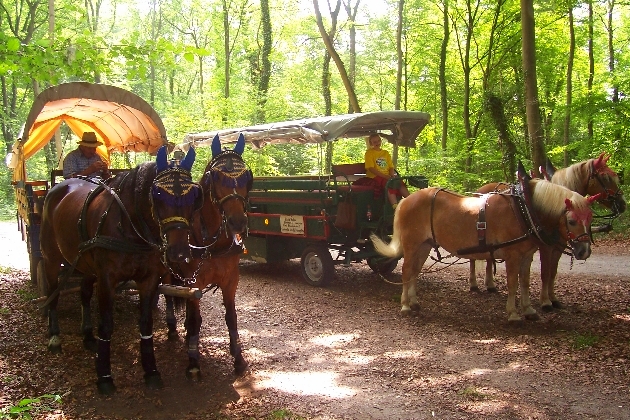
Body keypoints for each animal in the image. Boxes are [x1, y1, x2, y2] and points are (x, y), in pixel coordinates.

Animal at [39, 145, 201, 394]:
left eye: (194, 196)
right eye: (158, 195)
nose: (179, 253)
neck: (130, 226)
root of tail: (58, 187)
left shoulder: (149, 279)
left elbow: (146, 322)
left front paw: (151, 371)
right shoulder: (107, 279)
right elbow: (106, 325)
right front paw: (104, 376)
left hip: (85, 264)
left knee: (84, 294)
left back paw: (87, 336)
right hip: (50, 259)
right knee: (52, 294)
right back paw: (55, 336)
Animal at [164, 135, 253, 380]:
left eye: (247, 176)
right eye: (216, 176)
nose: (237, 222)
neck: (212, 241)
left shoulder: (231, 280)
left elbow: (231, 317)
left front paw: (238, 359)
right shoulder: (194, 281)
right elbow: (196, 320)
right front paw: (193, 363)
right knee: (168, 294)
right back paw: (173, 328)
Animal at [372, 174, 600, 322]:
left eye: (590, 218)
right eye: (571, 221)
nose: (584, 251)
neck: (523, 209)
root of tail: (406, 200)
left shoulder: (527, 255)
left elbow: (525, 283)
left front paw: (528, 310)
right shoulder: (513, 255)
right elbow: (512, 284)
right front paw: (513, 314)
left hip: (424, 245)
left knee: (414, 272)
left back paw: (414, 302)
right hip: (412, 245)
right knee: (406, 271)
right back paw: (405, 305)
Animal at [470, 153, 628, 310]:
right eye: (606, 177)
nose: (623, 204)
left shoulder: (558, 246)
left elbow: (553, 272)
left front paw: (553, 298)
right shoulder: (546, 246)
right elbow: (545, 273)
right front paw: (545, 301)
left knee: (489, 257)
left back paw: (490, 284)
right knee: (473, 258)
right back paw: (474, 284)